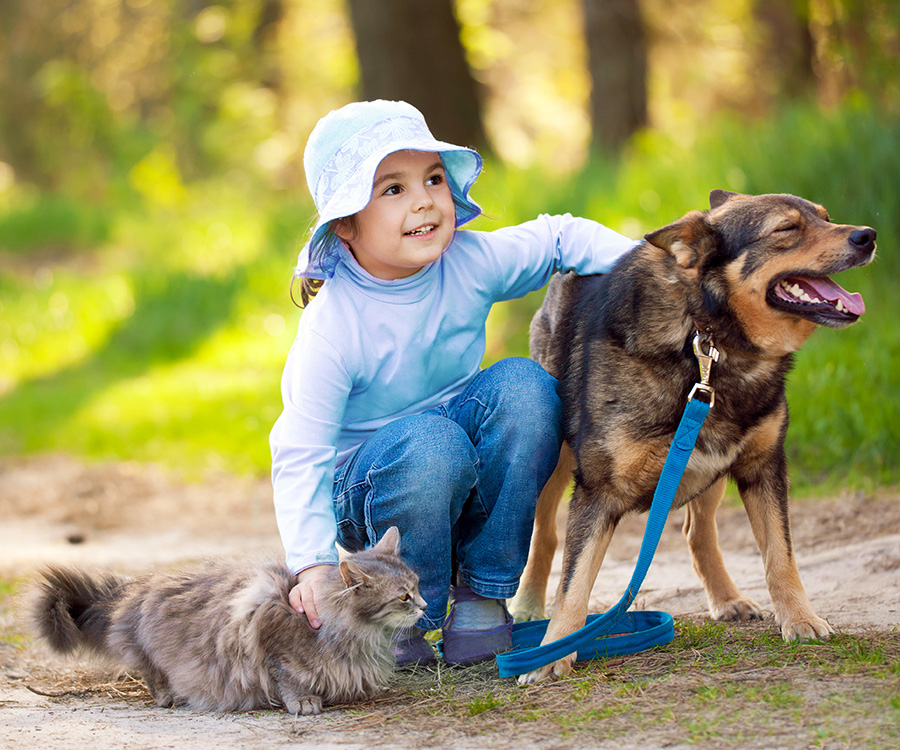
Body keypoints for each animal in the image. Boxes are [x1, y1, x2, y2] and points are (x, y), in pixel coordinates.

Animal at [28, 528, 422, 716]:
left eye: (416, 586)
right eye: (403, 597)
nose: (425, 604)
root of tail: (135, 588)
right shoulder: (270, 640)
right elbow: (289, 678)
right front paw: (304, 701)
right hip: (149, 648)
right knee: (149, 669)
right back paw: (168, 696)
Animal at [516, 191, 876, 684]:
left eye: (825, 217)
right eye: (786, 229)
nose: (868, 236)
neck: (707, 339)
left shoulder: (762, 467)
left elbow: (780, 556)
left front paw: (800, 619)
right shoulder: (599, 491)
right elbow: (575, 582)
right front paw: (553, 652)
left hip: (708, 463)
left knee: (697, 531)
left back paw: (726, 598)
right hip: (556, 459)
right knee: (545, 536)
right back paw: (527, 604)